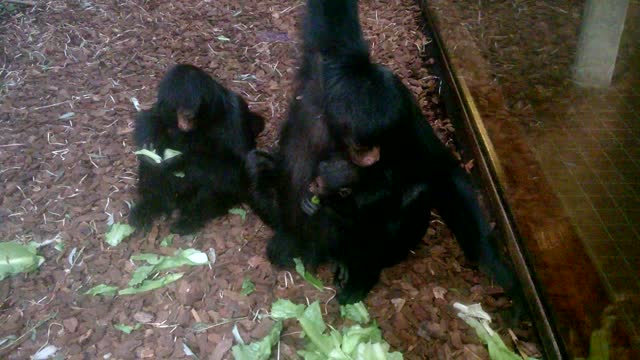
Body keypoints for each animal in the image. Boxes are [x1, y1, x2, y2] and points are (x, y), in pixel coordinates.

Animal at [131, 63, 264, 235]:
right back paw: (150, 205)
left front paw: (178, 161)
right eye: (175, 110)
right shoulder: (163, 107)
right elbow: (150, 117)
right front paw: (149, 146)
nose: (184, 120)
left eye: (189, 114)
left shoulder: (235, 111)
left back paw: (190, 218)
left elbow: (239, 169)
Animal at [245, 0, 520, 306]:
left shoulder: (402, 109)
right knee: (255, 165)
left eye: (382, 139)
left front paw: (493, 262)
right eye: (362, 144)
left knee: (417, 191)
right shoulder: (326, 67)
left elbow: (440, 170)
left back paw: (361, 274)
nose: (372, 155)